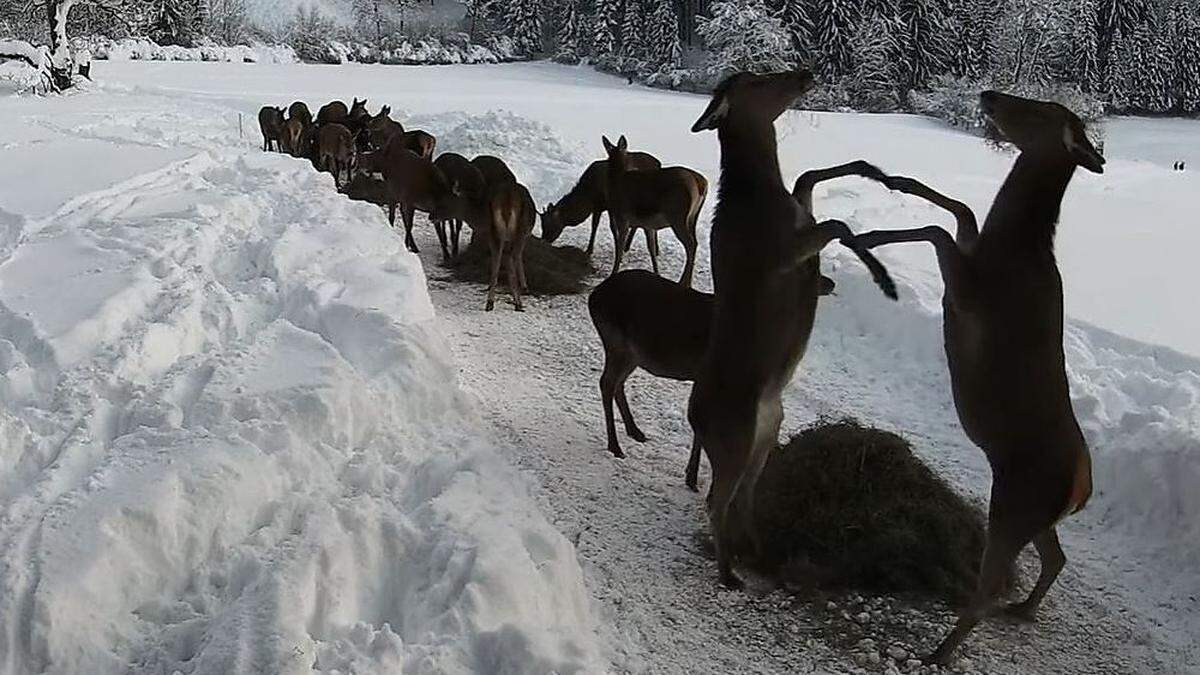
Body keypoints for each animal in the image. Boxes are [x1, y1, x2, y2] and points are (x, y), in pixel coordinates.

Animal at [686, 70, 902, 588]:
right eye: (757, 78)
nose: (805, 72)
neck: (761, 192)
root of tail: (693, 416)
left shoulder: (800, 215)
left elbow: (810, 179)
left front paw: (878, 172)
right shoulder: (778, 252)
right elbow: (839, 223)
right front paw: (881, 276)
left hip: (765, 434)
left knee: (743, 497)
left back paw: (764, 556)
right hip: (735, 436)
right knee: (717, 500)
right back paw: (729, 572)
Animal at [849, 89, 1099, 662]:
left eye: (1040, 110)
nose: (988, 94)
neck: (1009, 248)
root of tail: (1082, 488)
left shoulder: (967, 294)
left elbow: (941, 228)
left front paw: (871, 235)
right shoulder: (969, 254)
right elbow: (960, 211)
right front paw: (893, 181)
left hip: (1015, 503)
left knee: (989, 585)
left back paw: (940, 651)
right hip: (1030, 510)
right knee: (1055, 558)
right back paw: (1022, 609)